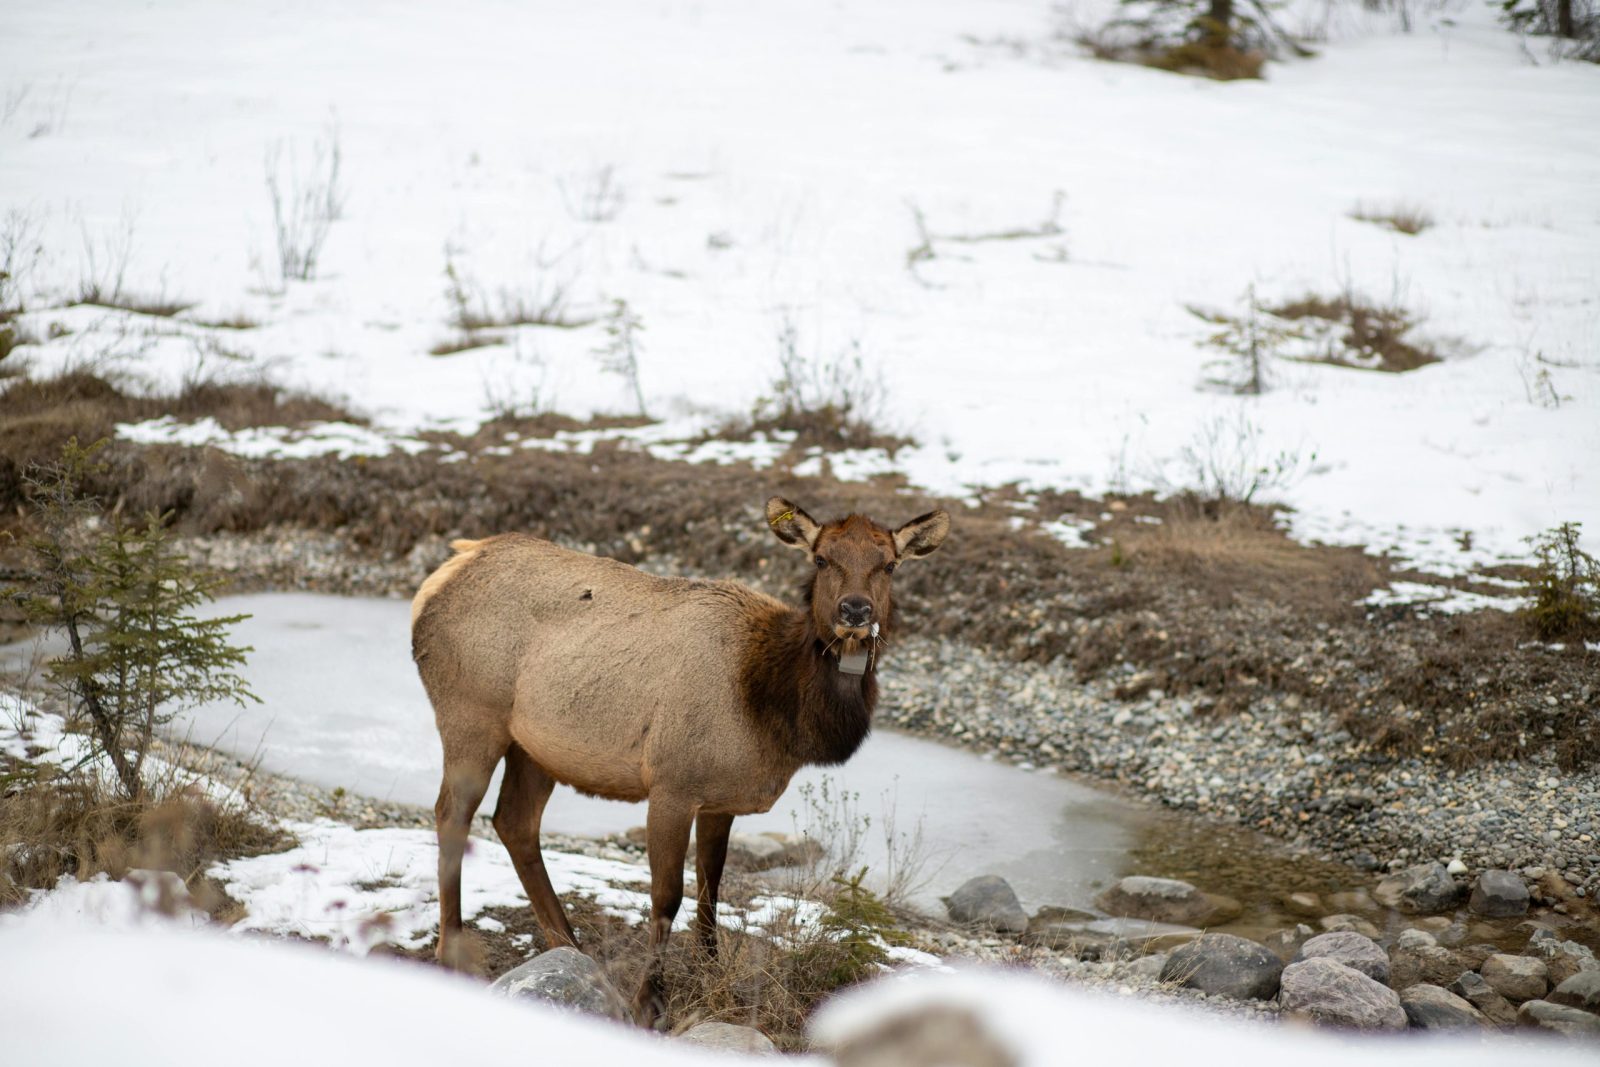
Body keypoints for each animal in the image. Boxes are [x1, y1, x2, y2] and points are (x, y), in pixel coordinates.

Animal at [410, 496, 949, 1026]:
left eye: (890, 564)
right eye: (821, 559)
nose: (855, 610)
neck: (771, 711)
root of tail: (442, 575)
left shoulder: (721, 798)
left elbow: (711, 887)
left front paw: (710, 970)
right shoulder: (672, 785)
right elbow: (667, 896)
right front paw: (650, 1003)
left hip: (535, 747)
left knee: (514, 822)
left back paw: (571, 947)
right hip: (471, 715)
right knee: (452, 815)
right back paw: (452, 951)